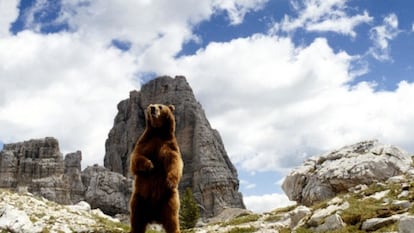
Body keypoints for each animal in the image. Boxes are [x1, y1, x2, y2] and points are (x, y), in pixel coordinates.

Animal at [129, 104, 182, 233]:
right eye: (150, 105)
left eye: (160, 106)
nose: (152, 108)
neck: (158, 131)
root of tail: (154, 216)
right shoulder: (145, 142)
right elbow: (136, 157)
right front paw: (149, 165)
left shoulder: (169, 146)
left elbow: (175, 162)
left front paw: (170, 181)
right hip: (139, 199)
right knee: (136, 220)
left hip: (168, 199)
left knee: (172, 220)